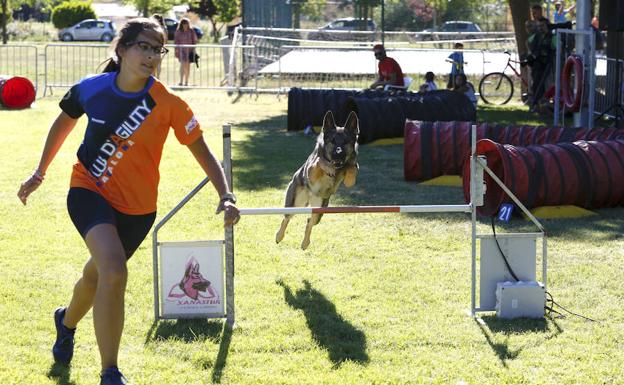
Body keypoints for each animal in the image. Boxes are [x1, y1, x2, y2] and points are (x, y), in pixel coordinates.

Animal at [276, 110, 358, 249]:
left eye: (345, 142)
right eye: (332, 141)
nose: (338, 154)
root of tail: (310, 197)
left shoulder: (350, 175)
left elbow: (352, 168)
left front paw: (346, 167)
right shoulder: (312, 171)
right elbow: (319, 161)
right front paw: (326, 165)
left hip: (319, 211)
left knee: (309, 221)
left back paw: (305, 243)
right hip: (294, 203)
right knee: (286, 218)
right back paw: (279, 236)